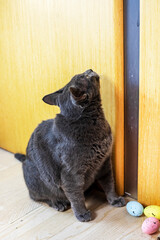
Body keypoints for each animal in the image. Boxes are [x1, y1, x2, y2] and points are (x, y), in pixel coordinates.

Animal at [14, 69, 125, 221]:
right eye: (84, 76)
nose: (89, 70)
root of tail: (25, 159)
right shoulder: (71, 174)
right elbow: (76, 196)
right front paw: (82, 213)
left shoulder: (105, 163)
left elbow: (109, 184)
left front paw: (115, 200)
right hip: (37, 177)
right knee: (38, 196)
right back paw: (58, 203)